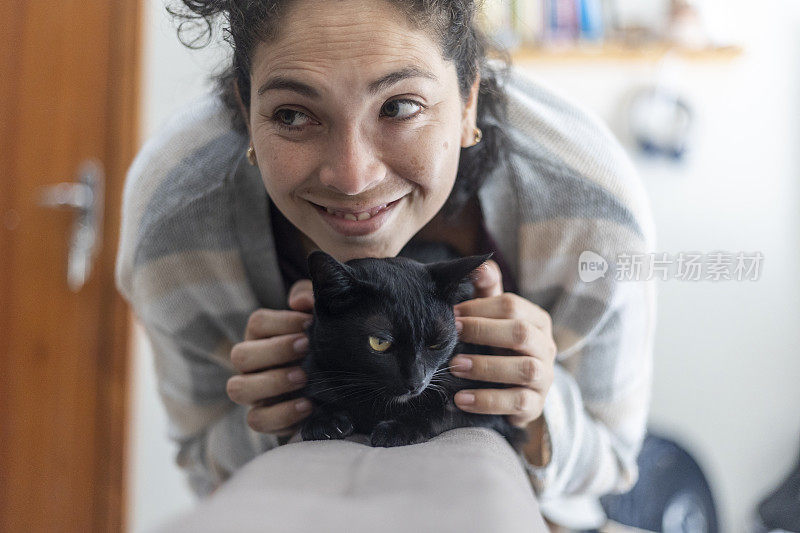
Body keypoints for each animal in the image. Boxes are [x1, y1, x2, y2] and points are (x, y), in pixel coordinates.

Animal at [296, 251, 528, 450]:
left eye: (438, 343)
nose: (416, 382)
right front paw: (324, 420)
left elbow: (444, 412)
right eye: (379, 342)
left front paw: (399, 429)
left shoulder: (489, 413)